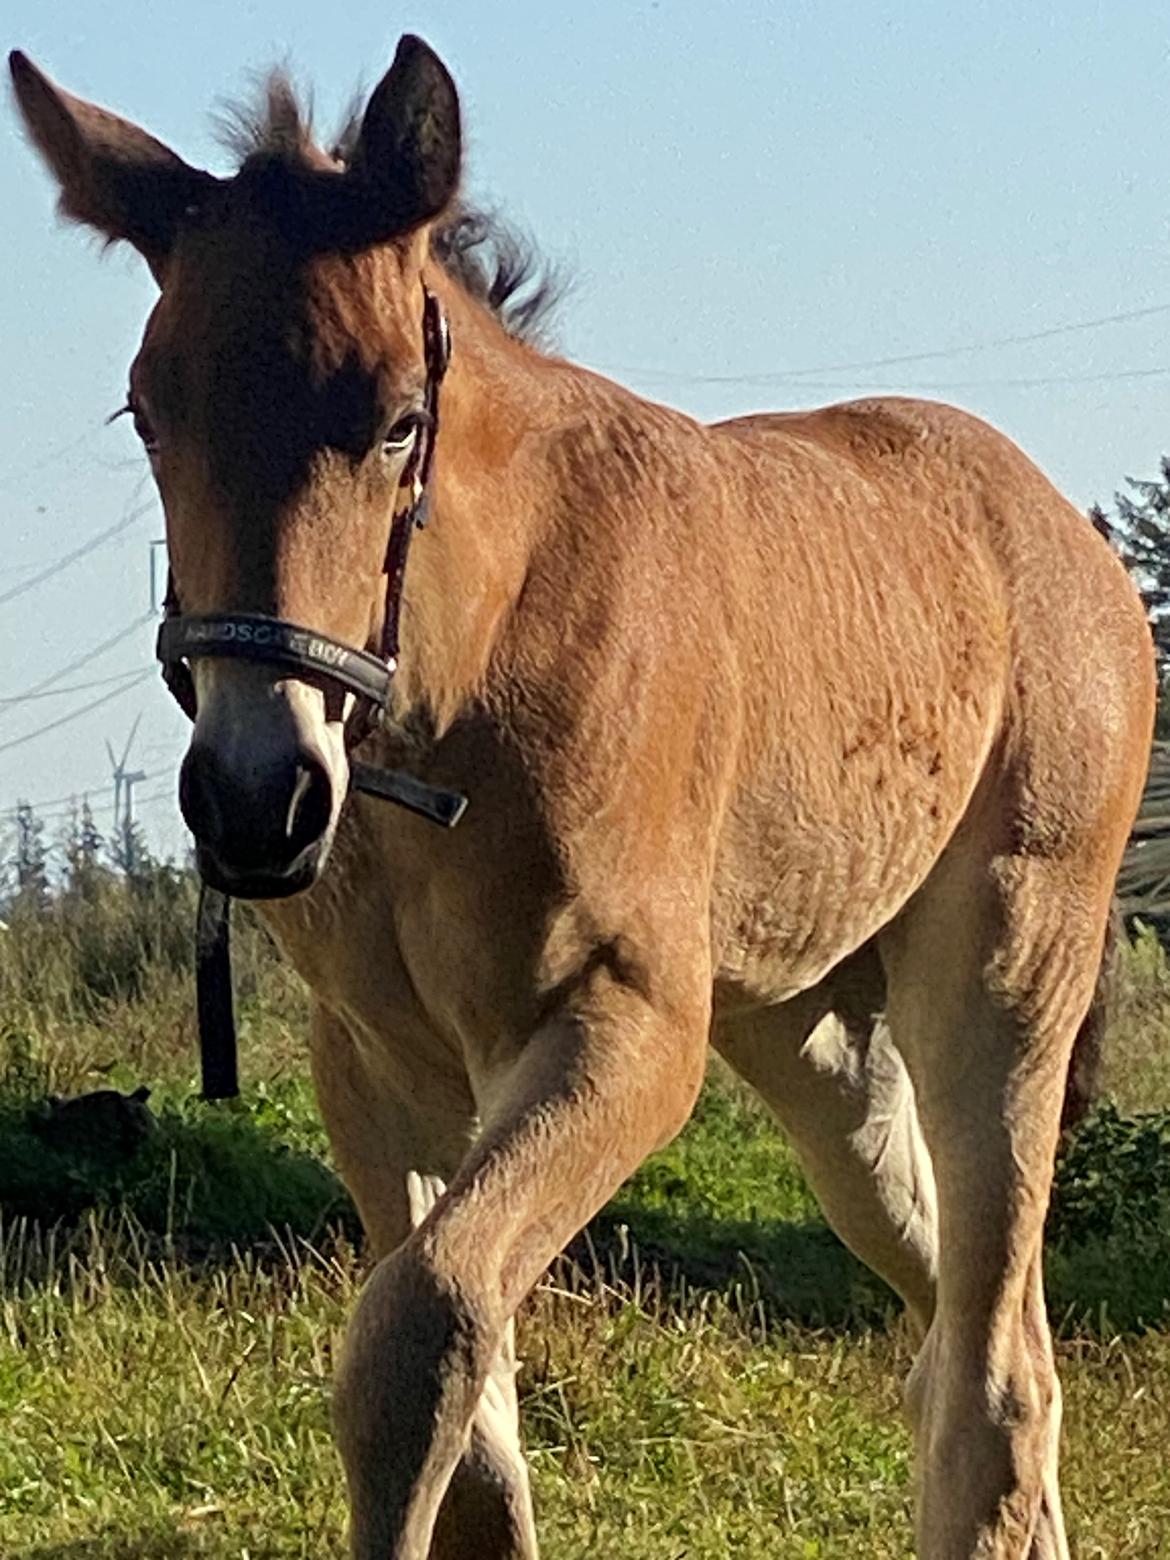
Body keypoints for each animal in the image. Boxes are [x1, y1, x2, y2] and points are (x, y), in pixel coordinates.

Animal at [9, 36, 1160, 1560]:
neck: (457, 699)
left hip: (1004, 968)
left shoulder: (619, 1031)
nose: (259, 798)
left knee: (986, 1369)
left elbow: (422, 1331)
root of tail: (1075, 549)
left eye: (400, 420)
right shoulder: (375, 1066)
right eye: (150, 409)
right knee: (989, 1329)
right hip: (820, 1042)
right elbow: (472, 1427)